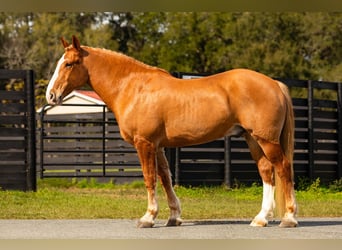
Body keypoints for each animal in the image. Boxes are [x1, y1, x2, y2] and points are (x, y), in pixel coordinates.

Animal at [45, 35, 296, 229]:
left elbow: (149, 178)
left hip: (266, 140)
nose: (51, 95)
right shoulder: (157, 146)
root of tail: (274, 83)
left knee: (283, 167)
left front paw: (148, 218)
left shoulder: (144, 143)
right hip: (253, 138)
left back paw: (289, 218)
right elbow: (165, 178)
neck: (134, 87)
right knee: (266, 171)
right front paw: (174, 216)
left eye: (69, 64)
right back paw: (261, 218)